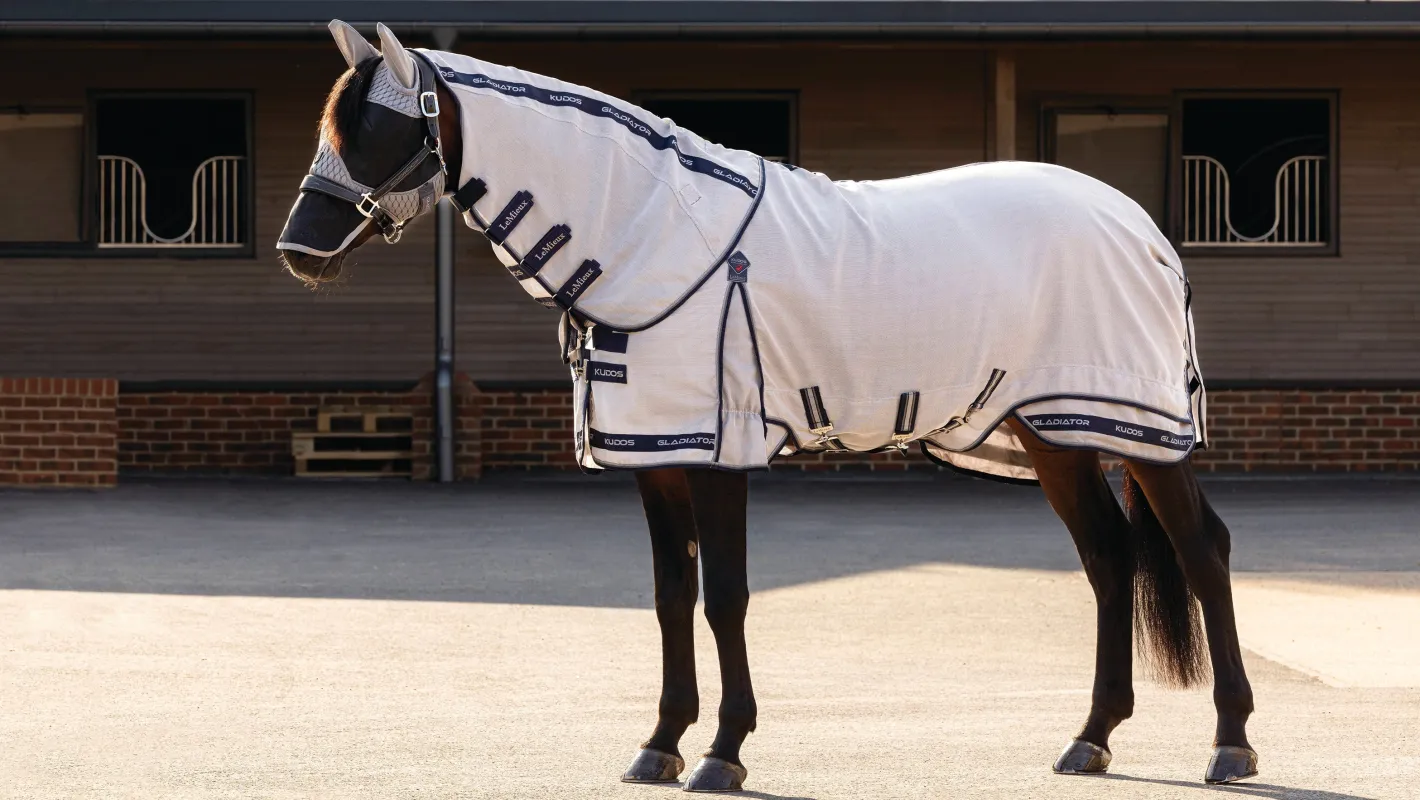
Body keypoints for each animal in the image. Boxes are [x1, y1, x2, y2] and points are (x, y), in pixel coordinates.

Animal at [276, 20, 1257, 792]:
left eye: (380, 128)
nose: (299, 250)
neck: (655, 236)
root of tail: (1143, 228)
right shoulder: (657, 456)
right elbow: (671, 596)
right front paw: (660, 746)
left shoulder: (718, 452)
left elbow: (726, 598)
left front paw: (723, 752)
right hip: (1055, 434)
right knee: (1109, 559)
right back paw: (1091, 739)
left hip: (1144, 434)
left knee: (1201, 551)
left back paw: (1231, 743)